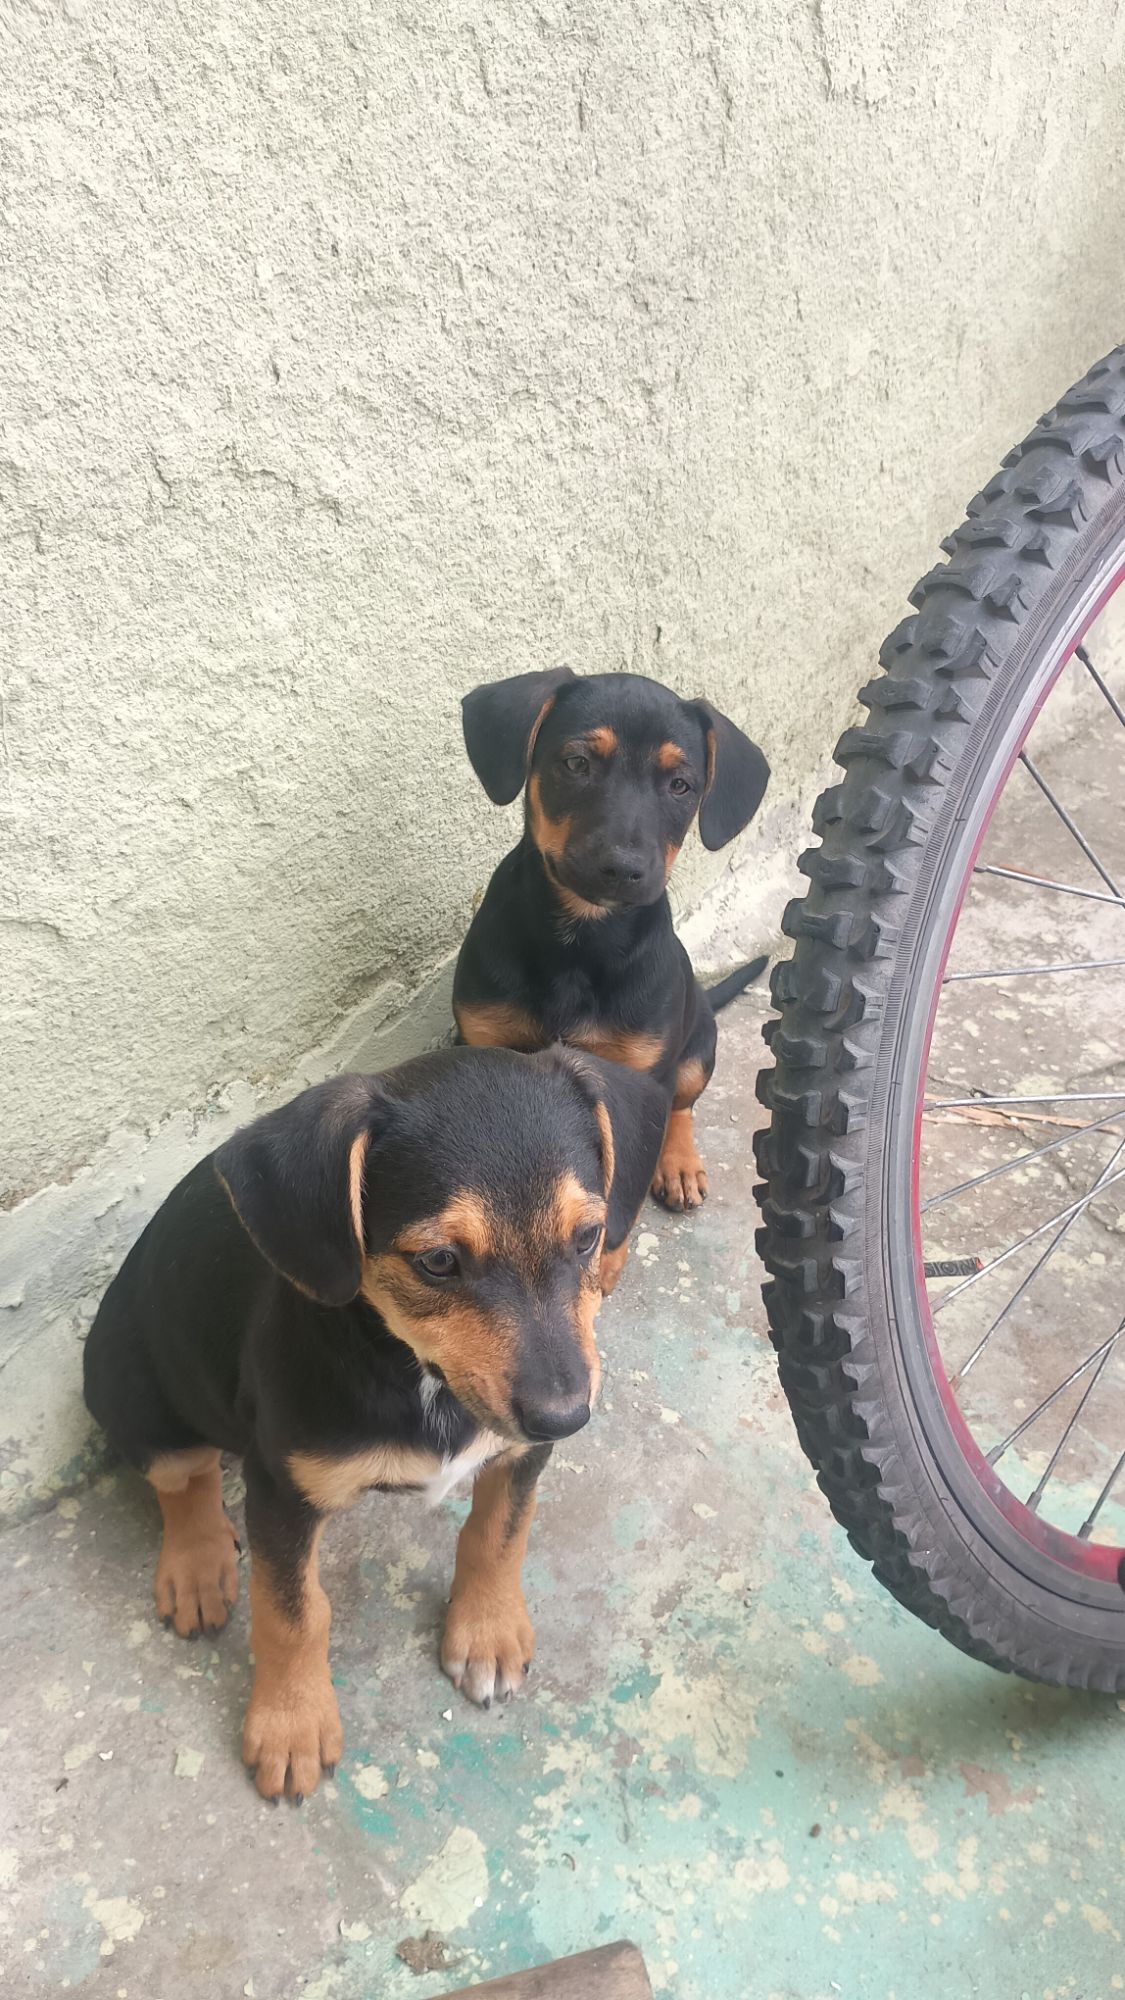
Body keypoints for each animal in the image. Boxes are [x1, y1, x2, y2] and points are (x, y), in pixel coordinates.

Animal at [83, 1045, 666, 1802]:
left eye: (589, 1237)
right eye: (438, 1261)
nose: (563, 1418)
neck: (416, 1374)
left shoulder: (515, 1453)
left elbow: (499, 1535)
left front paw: (486, 1631)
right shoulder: (282, 1489)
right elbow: (292, 1613)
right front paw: (291, 1725)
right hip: (134, 1392)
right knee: (182, 1477)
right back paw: (198, 1565)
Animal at [453, 669, 769, 1287]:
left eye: (681, 785)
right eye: (576, 763)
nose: (622, 869)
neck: (582, 940)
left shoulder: (643, 1077)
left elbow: (628, 1167)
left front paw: (606, 1255)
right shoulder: (480, 1042)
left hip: (697, 1052)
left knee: (682, 1108)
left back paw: (679, 1164)